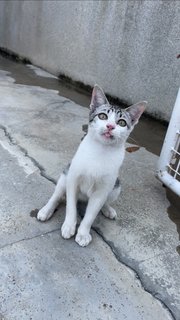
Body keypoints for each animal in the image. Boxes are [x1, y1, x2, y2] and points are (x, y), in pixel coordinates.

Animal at [37, 85, 146, 248]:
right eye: (102, 116)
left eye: (121, 122)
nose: (110, 126)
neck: (100, 151)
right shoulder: (73, 179)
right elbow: (71, 206)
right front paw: (69, 225)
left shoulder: (102, 189)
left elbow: (92, 213)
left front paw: (83, 233)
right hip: (66, 174)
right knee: (58, 195)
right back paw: (46, 210)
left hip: (116, 186)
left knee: (105, 200)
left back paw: (107, 209)